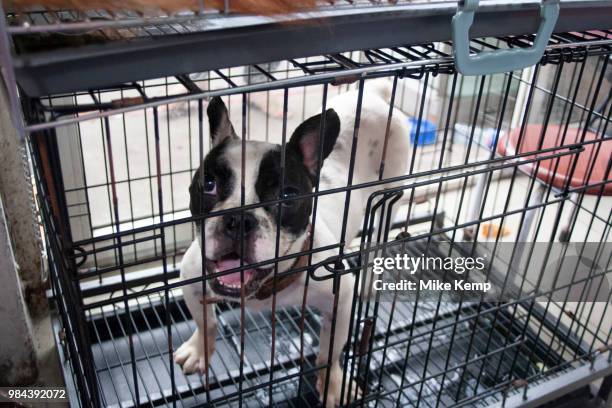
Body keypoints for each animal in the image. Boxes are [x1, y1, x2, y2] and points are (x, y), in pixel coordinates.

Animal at [175, 82, 408, 404]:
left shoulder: (341, 299)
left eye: (287, 196)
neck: (264, 287)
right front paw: (199, 350)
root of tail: (374, 94)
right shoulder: (191, 276)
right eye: (208, 185)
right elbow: (205, 321)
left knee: (378, 240)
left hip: (389, 198)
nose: (239, 219)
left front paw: (334, 384)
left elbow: (330, 351)